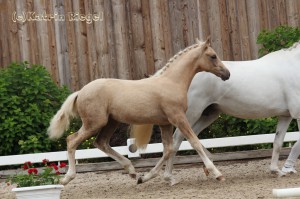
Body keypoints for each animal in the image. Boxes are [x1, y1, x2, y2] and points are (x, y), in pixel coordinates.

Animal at [47, 37, 230, 185]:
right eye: (213, 56)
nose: (227, 74)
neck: (172, 82)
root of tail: (80, 91)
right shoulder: (178, 118)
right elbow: (195, 142)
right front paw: (217, 174)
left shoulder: (165, 123)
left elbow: (168, 149)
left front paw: (148, 177)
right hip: (94, 123)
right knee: (71, 140)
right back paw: (67, 178)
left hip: (111, 122)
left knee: (101, 143)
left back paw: (132, 172)